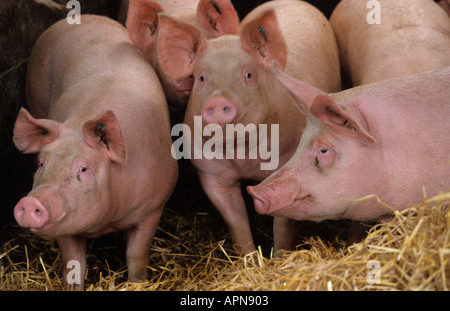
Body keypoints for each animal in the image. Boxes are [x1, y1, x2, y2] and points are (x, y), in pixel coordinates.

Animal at [12, 14, 178, 288]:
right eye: (41, 164)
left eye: (83, 168)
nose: (30, 202)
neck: (108, 220)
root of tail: (82, 17)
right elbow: (73, 263)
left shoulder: (153, 208)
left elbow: (137, 255)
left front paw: (136, 282)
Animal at [158, 0, 342, 255]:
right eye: (201, 77)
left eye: (248, 74)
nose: (218, 101)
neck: (242, 155)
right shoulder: (211, 173)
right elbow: (236, 223)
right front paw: (250, 259)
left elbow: (283, 223)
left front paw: (279, 257)